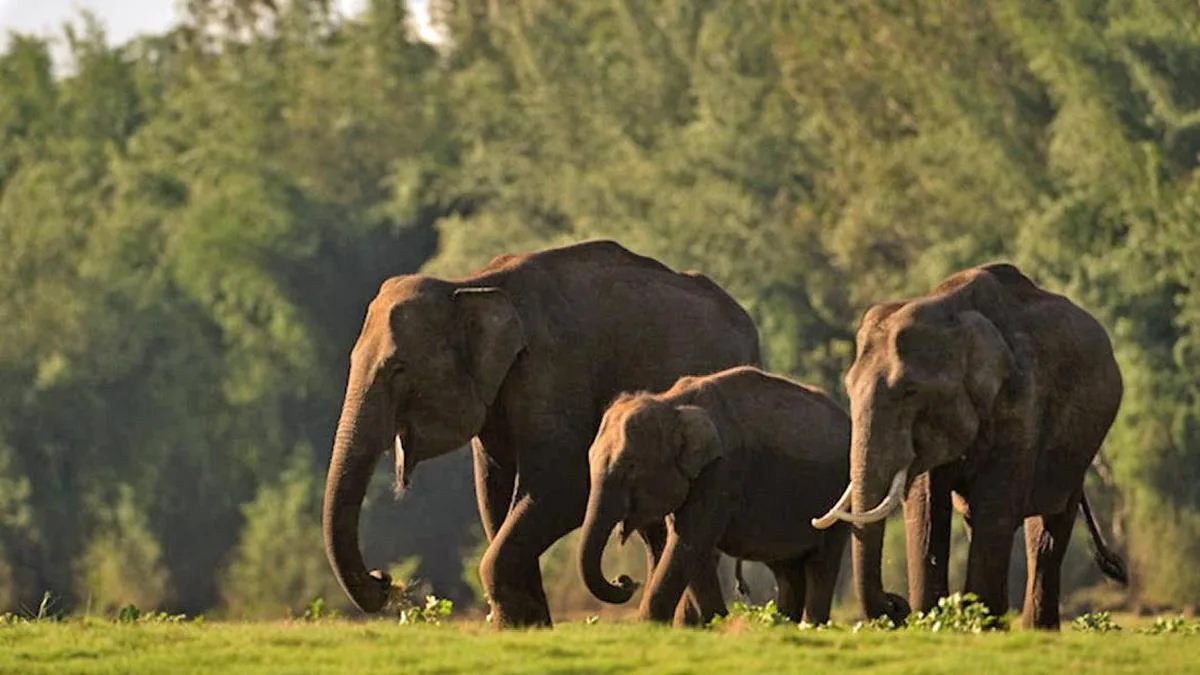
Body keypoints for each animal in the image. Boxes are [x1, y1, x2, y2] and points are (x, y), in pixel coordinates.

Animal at [322, 239, 761, 628]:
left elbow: (563, 487)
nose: (383, 579)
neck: (470, 284)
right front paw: (524, 626)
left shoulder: (552, 371)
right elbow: (493, 494)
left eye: (398, 369)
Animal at [578, 366, 852, 625]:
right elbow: (691, 545)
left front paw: (650, 625)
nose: (626, 581)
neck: (671, 404)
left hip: (836, 493)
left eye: (630, 467)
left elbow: (691, 538)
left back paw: (811, 624)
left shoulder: (720, 471)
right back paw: (784, 623)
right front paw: (717, 620)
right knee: (788, 570)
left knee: (822, 564)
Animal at [812, 262, 1128, 630]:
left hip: (1084, 443)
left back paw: (1032, 629)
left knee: (1047, 531)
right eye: (848, 389)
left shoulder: (1021, 402)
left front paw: (978, 626)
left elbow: (995, 505)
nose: (896, 604)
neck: (950, 308)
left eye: (909, 392)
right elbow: (927, 508)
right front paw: (932, 621)